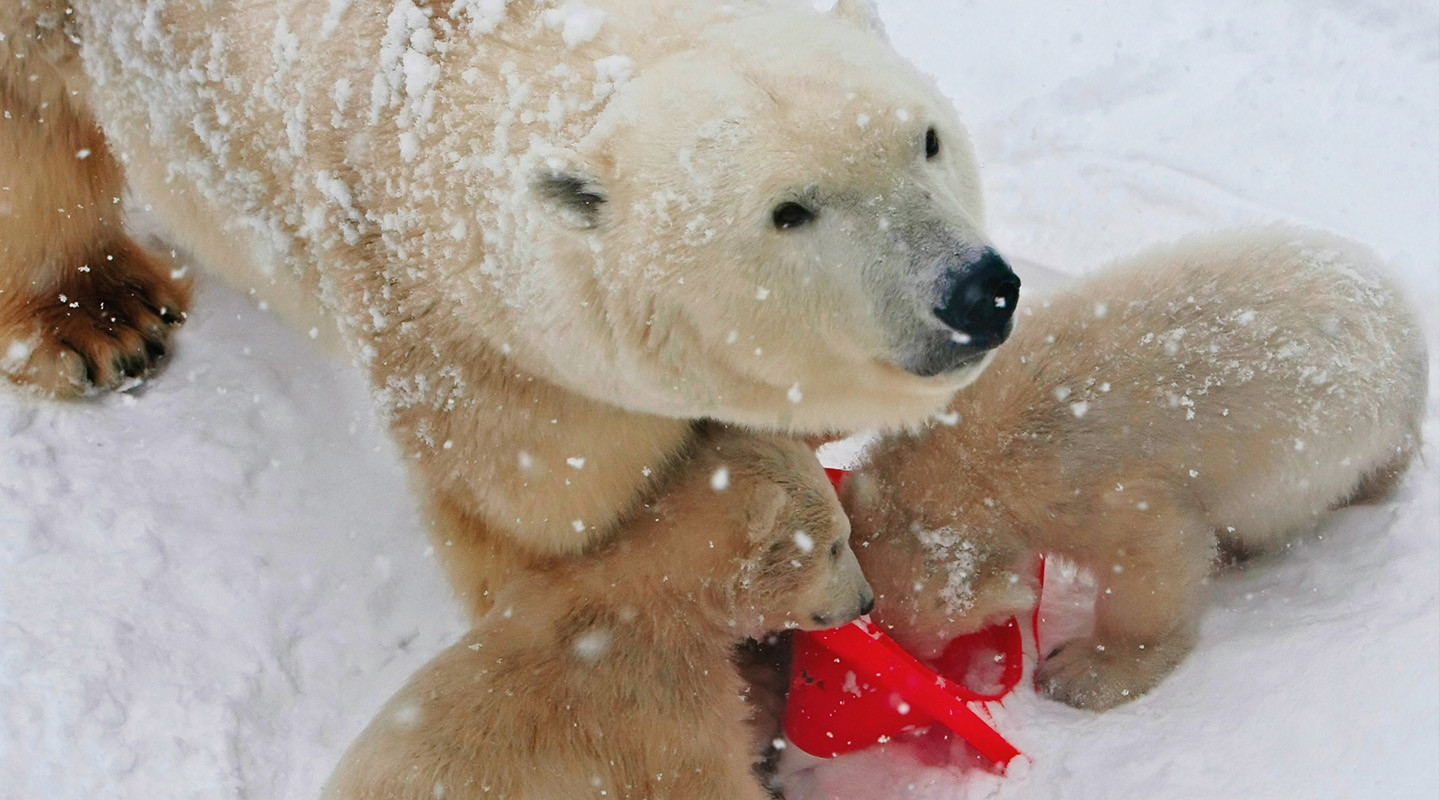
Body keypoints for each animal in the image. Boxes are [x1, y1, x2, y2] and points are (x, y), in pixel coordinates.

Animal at [0, 0, 1019, 615]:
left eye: (926, 139)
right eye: (790, 210)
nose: (976, 289)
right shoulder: (475, 363)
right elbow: (552, 529)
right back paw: (103, 319)